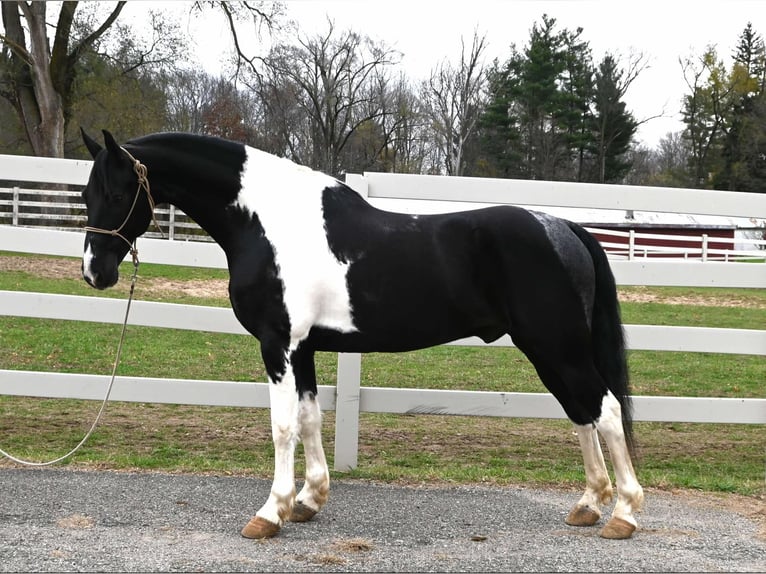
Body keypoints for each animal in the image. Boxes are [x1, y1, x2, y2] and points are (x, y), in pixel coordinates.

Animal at [78, 129, 644, 540]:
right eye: (86, 194)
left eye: (118, 192)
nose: (94, 272)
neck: (270, 223)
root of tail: (563, 227)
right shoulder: (303, 348)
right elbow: (309, 418)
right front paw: (307, 501)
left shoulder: (277, 344)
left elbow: (282, 425)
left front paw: (269, 513)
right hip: (551, 353)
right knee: (582, 414)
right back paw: (588, 505)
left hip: (558, 347)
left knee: (605, 410)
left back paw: (624, 514)